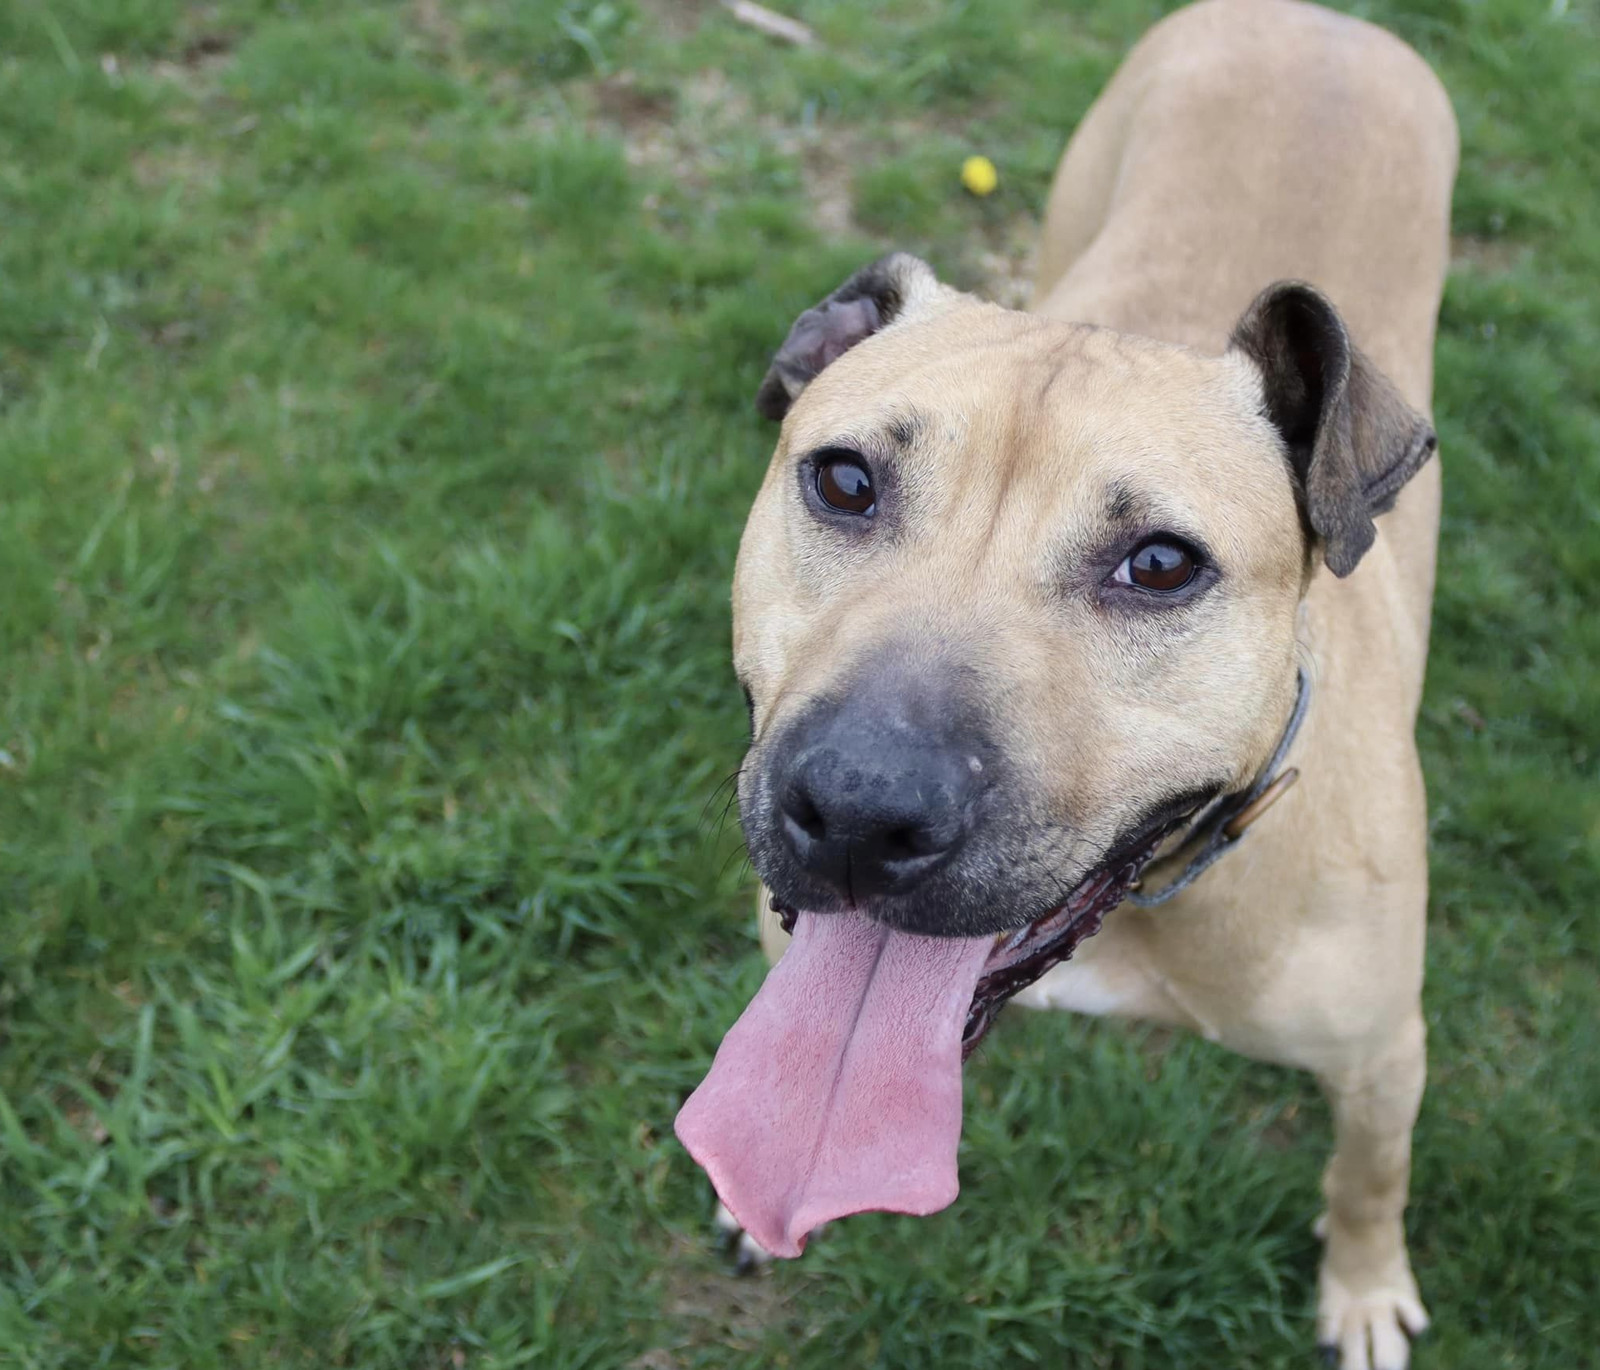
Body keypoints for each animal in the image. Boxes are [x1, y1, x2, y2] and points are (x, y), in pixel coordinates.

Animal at [675, 5, 1465, 1363]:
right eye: (842, 479)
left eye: (1160, 564)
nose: (858, 808)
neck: (1153, 904)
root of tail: (1326, 23)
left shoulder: (1382, 1055)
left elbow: (1370, 1173)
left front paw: (1362, 1287)